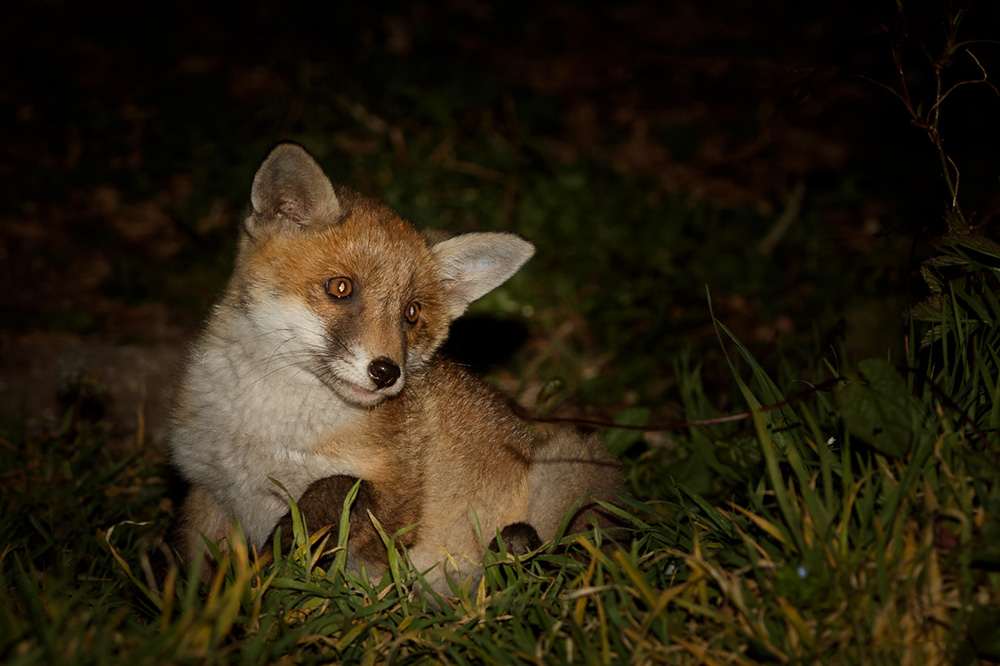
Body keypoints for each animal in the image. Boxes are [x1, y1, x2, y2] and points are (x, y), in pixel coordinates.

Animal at [166, 142, 624, 593]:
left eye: (411, 313)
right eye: (341, 288)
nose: (386, 372)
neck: (267, 432)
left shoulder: (397, 505)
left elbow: (336, 487)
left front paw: (282, 558)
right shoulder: (206, 492)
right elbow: (188, 571)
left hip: (571, 467)